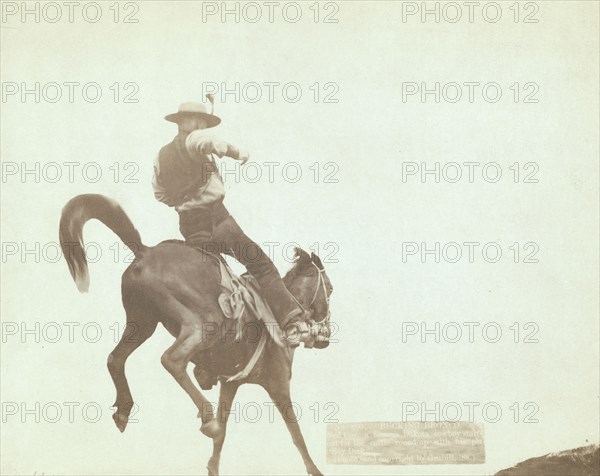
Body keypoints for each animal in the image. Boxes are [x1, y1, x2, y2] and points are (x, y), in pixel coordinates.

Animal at [58, 193, 332, 476]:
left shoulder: (230, 383)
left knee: (115, 359)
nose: (324, 336)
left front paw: (213, 466)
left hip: (141, 323)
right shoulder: (278, 385)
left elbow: (225, 430)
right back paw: (207, 419)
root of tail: (145, 251)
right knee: (172, 359)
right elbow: (296, 433)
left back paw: (124, 410)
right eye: (330, 289)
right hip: (205, 325)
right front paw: (315, 470)